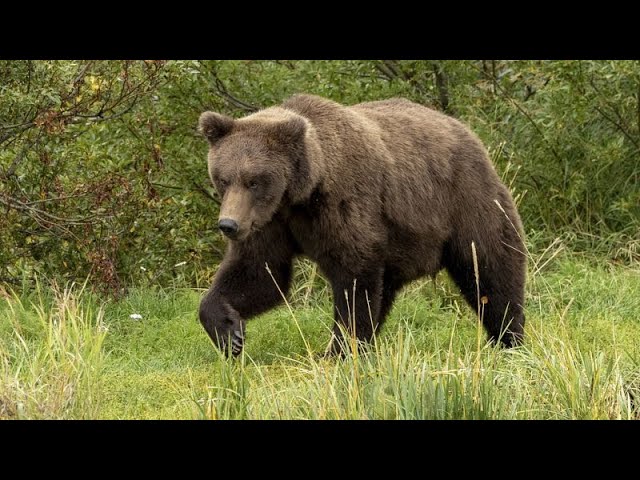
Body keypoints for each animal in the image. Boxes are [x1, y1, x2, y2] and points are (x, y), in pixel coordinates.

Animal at [198, 94, 528, 356]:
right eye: (223, 178)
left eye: (254, 181)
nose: (228, 225)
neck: (301, 194)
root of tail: (466, 131)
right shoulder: (271, 221)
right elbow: (259, 273)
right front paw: (229, 333)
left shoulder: (344, 203)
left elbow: (353, 277)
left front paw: (340, 350)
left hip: (465, 200)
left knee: (490, 267)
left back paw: (509, 338)